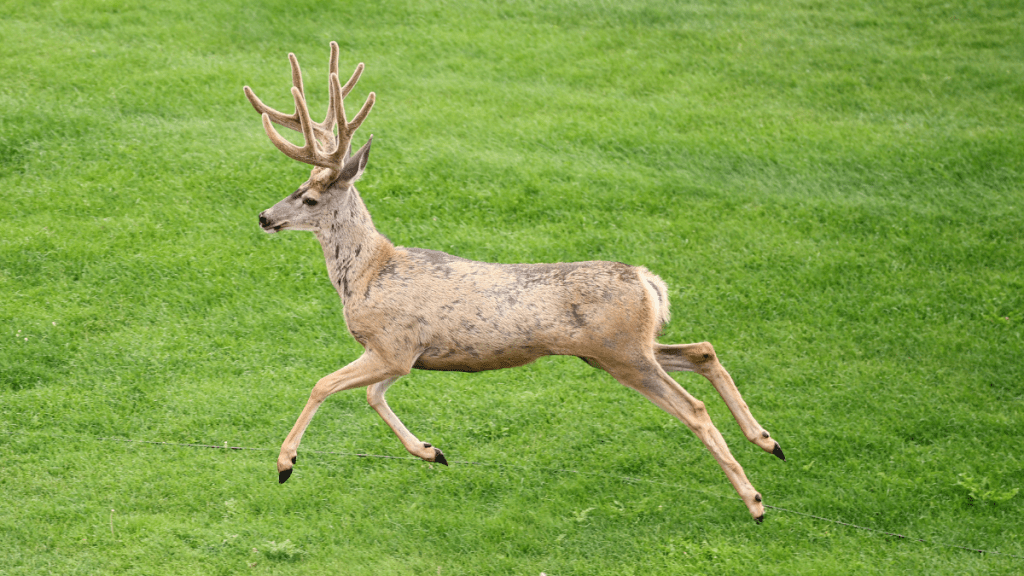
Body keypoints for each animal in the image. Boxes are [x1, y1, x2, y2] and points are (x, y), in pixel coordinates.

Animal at [243, 42, 786, 522]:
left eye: (310, 197)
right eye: (296, 187)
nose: (265, 217)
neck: (369, 272)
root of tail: (647, 281)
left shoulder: (392, 344)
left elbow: (323, 384)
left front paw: (285, 463)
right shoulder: (408, 354)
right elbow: (375, 397)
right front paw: (432, 451)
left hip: (622, 352)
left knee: (693, 407)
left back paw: (755, 501)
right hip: (619, 348)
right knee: (703, 350)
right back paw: (769, 441)